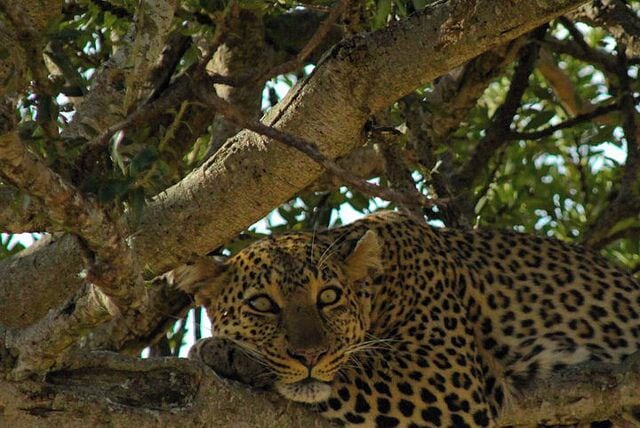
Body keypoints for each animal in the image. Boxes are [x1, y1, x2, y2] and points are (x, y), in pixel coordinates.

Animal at [177, 210, 640, 427]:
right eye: (262, 304)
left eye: (328, 297)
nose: (310, 356)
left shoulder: (448, 379)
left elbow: (354, 369)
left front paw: (223, 352)